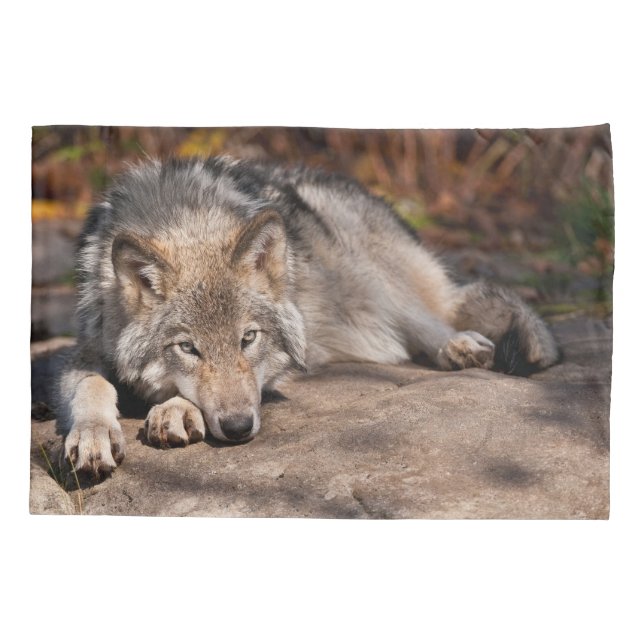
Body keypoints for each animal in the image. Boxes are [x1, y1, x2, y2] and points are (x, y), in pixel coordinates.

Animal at [57, 156, 560, 477]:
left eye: (248, 339)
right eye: (187, 347)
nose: (239, 429)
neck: (185, 219)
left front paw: (174, 410)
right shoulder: (82, 349)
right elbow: (91, 385)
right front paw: (93, 434)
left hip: (368, 277)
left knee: (433, 316)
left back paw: (459, 345)